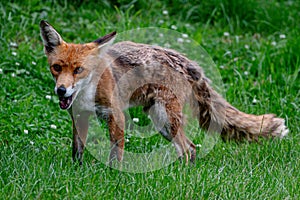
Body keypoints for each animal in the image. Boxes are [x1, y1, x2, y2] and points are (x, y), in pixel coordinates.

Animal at [39, 20, 288, 166]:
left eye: (79, 70)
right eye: (57, 68)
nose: (61, 90)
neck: (86, 92)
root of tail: (181, 58)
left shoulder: (115, 115)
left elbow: (116, 154)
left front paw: (112, 176)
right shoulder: (79, 116)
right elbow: (77, 150)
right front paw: (77, 171)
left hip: (165, 117)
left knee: (187, 148)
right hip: (162, 123)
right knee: (190, 149)